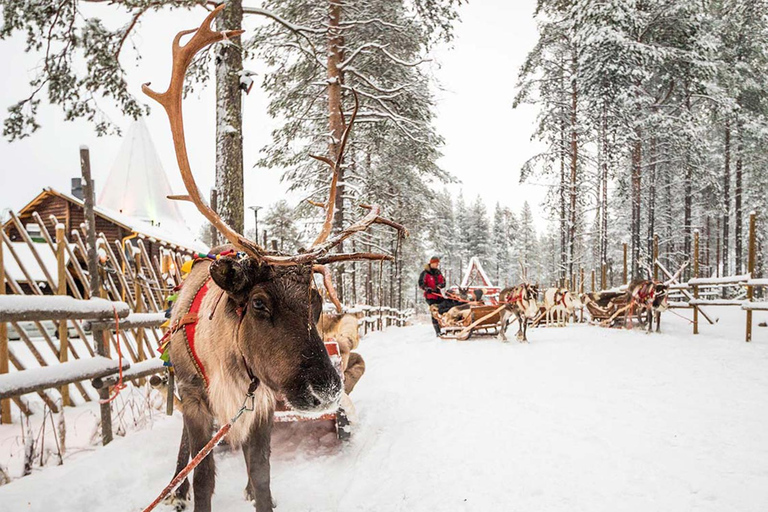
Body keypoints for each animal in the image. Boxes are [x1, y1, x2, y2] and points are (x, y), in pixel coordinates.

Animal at [142, 7, 405, 512]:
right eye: (260, 303)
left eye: (318, 302)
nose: (327, 388)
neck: (230, 366)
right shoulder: (196, 401)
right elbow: (204, 475)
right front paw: (190, 491)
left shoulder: (261, 404)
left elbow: (262, 474)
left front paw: (256, 490)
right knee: (187, 451)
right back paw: (175, 492)